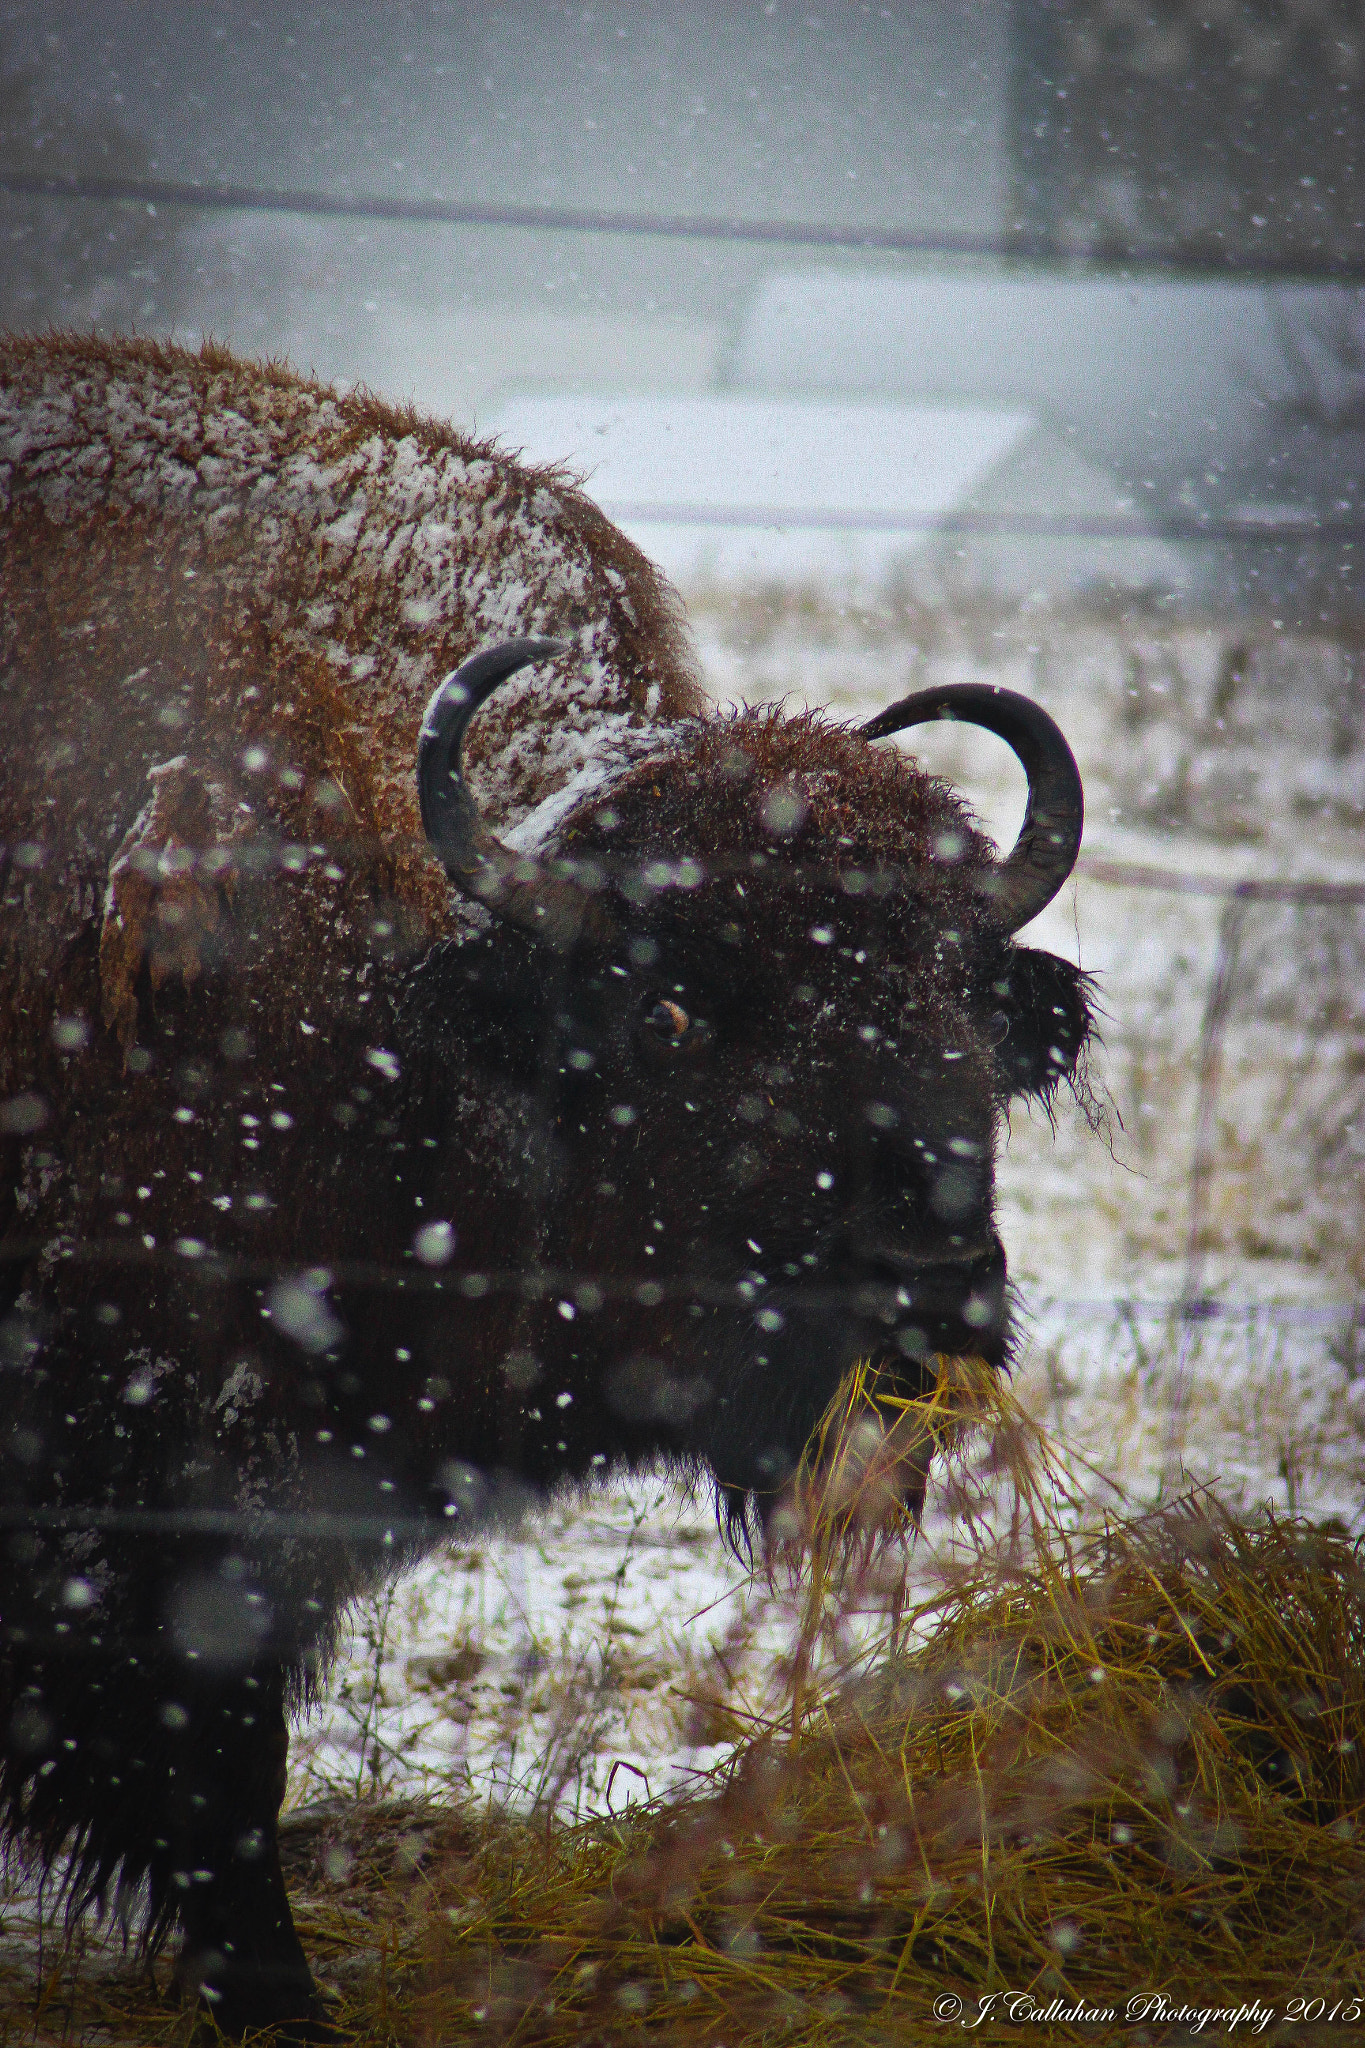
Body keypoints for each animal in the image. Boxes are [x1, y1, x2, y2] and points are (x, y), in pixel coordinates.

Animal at [0, 335, 1088, 2031]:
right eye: (671, 1011)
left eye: (962, 1006)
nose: (926, 1309)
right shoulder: (158, 1508)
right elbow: (221, 1786)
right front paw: (286, 2008)